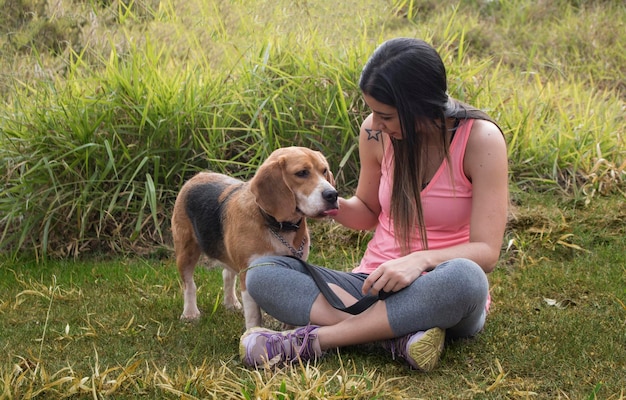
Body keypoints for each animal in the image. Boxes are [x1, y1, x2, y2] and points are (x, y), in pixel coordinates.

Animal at [169, 147, 336, 328]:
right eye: (302, 173)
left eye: (324, 170)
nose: (333, 194)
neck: (278, 226)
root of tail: (198, 176)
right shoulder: (249, 272)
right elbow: (254, 316)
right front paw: (253, 333)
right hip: (186, 251)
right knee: (189, 285)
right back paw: (190, 313)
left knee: (227, 274)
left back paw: (230, 303)